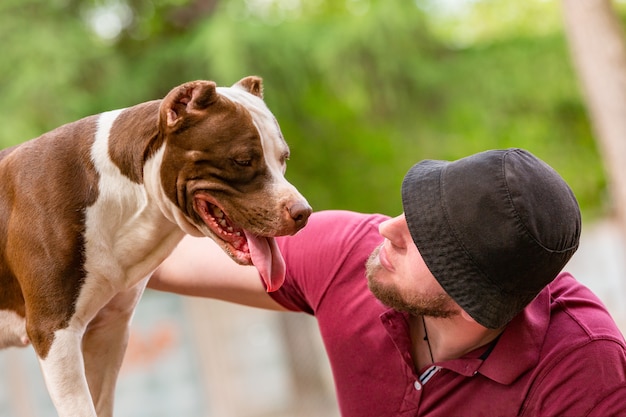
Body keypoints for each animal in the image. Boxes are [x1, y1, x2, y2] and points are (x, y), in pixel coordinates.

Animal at [0, 76, 310, 414]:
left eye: (284, 159)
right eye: (242, 160)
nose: (303, 212)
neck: (124, 195)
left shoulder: (108, 330)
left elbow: (100, 403)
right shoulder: (55, 332)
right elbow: (80, 408)